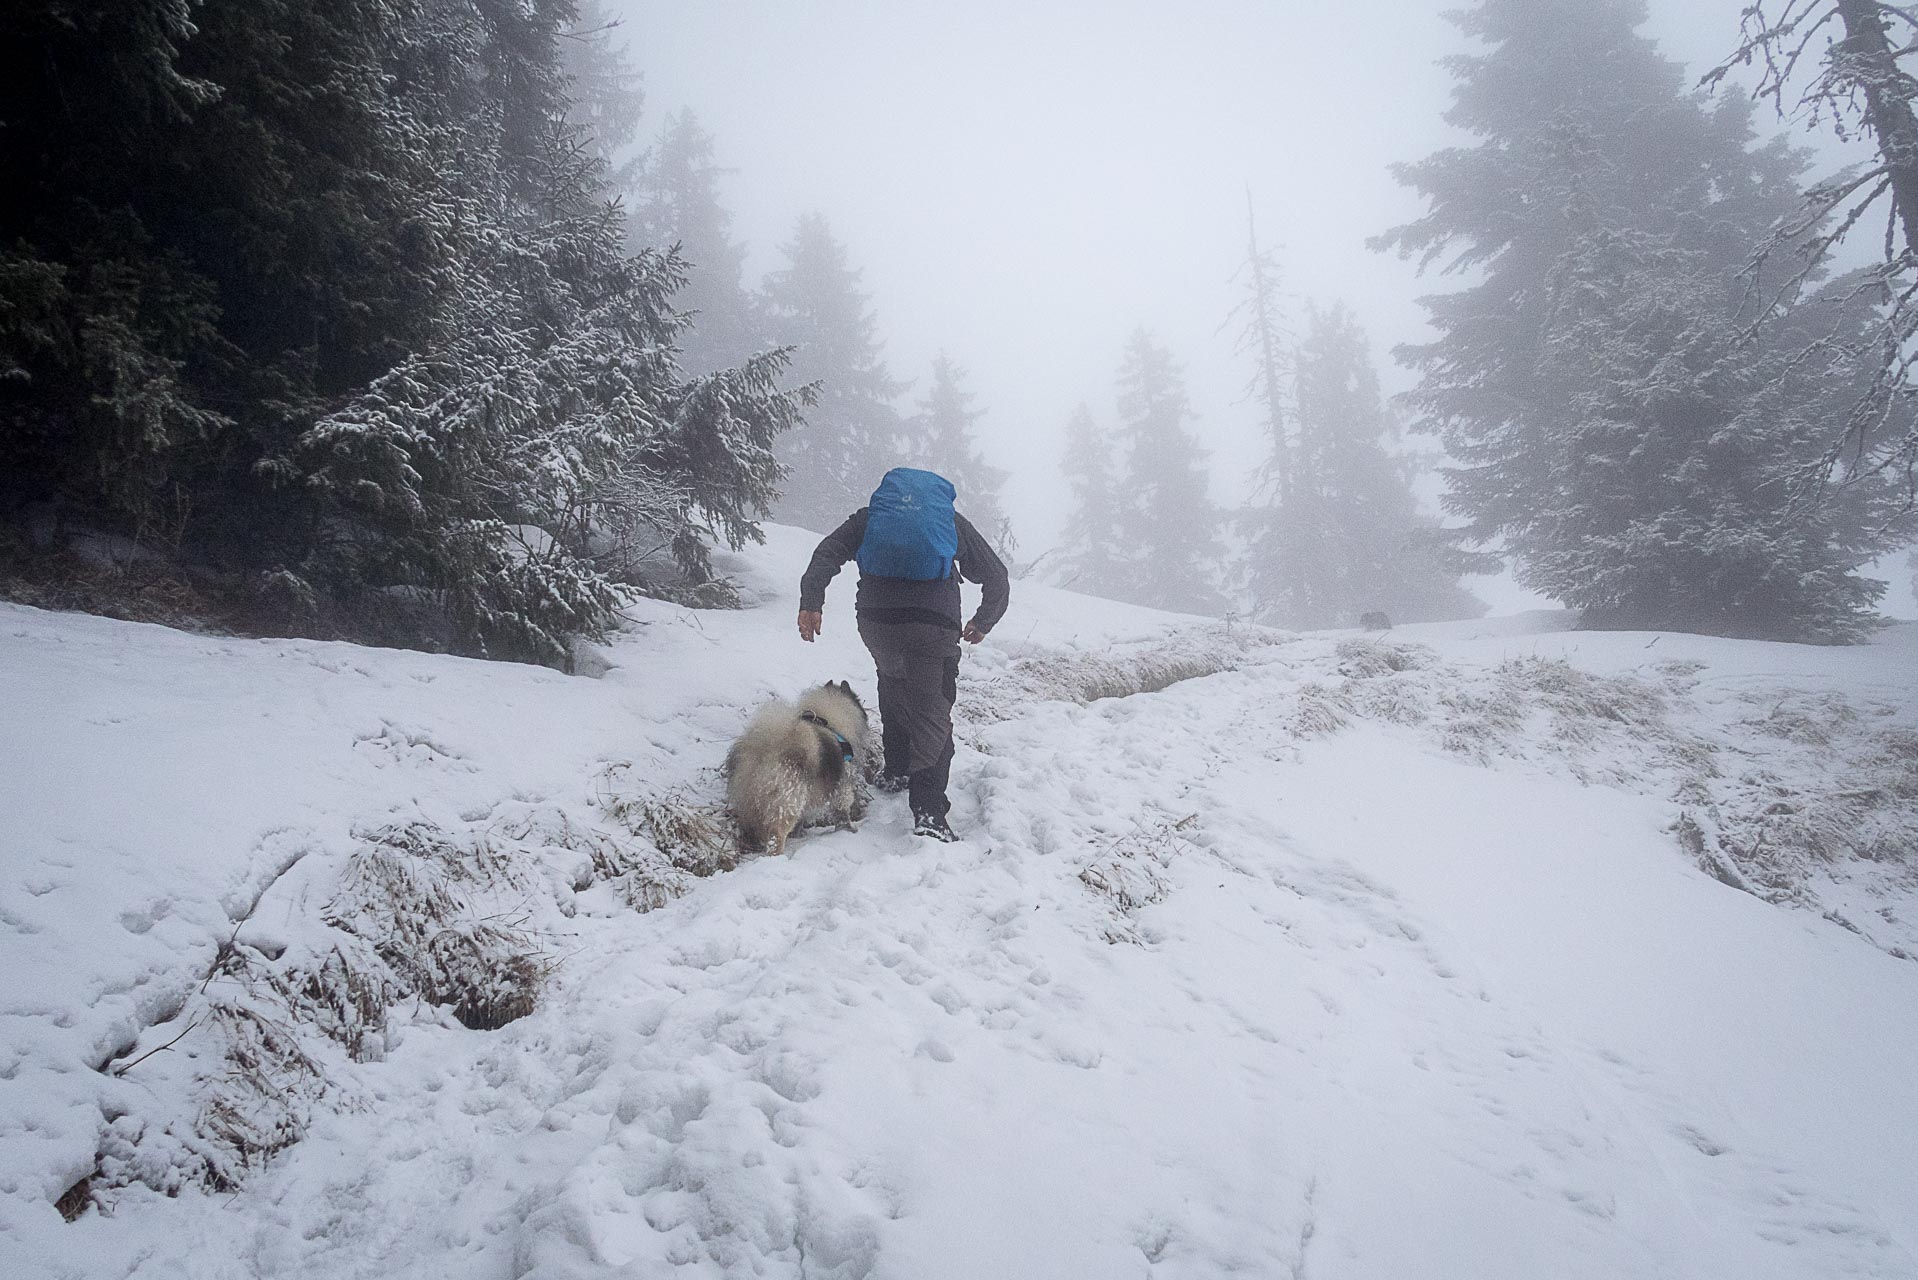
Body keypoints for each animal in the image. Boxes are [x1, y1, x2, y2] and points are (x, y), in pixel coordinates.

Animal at [721, 687, 874, 855]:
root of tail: (765, 749)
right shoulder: (842, 787)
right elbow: (842, 812)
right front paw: (848, 829)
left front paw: (798, 833)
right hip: (787, 800)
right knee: (776, 833)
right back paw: (776, 854)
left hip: (751, 801)